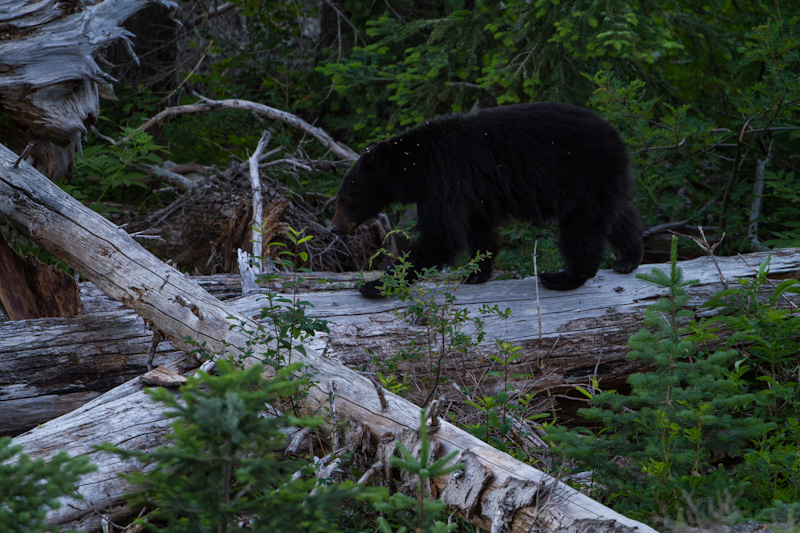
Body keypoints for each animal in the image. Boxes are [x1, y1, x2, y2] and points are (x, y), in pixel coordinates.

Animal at [332, 102, 644, 298]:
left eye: (347, 196)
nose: (335, 228)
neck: (417, 163)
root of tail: (617, 137)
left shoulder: (445, 179)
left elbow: (441, 236)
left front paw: (376, 285)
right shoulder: (470, 192)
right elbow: (478, 230)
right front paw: (476, 273)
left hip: (583, 175)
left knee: (581, 228)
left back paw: (562, 277)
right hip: (605, 180)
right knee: (618, 214)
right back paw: (628, 257)